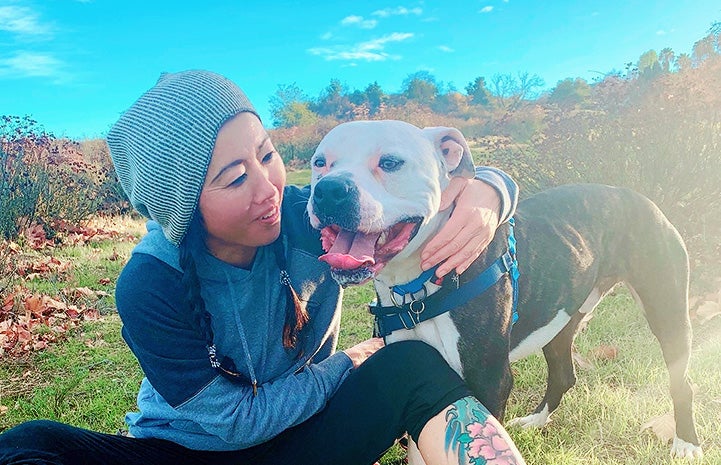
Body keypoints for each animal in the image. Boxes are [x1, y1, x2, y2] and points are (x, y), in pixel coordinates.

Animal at [306, 119, 704, 460]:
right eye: (320, 163)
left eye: (390, 162)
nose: (328, 190)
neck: (415, 288)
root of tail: (637, 195)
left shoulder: (486, 381)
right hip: (559, 320)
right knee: (563, 373)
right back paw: (535, 421)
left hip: (667, 310)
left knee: (681, 380)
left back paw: (686, 443)